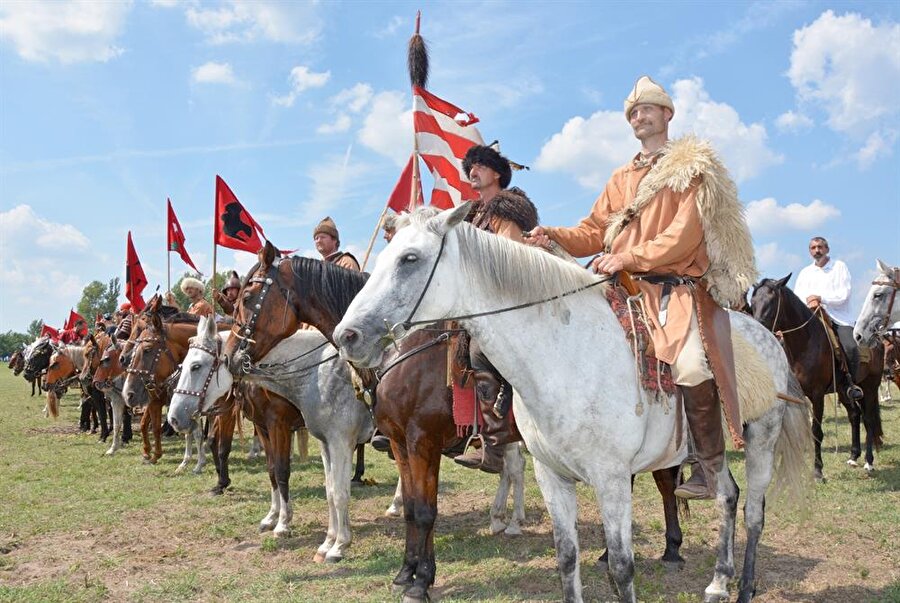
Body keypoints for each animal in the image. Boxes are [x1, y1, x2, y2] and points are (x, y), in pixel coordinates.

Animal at [168, 314, 372, 564]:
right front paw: (275, 519)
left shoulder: (297, 431)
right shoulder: (269, 429)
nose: (173, 417)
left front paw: (288, 526)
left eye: (196, 366)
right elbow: (281, 474)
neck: (318, 372)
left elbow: (291, 475)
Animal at [223, 243, 684, 600]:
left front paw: (419, 581)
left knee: (661, 481)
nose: (231, 357)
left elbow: (426, 511)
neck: (400, 351)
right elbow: (411, 509)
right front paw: (406, 572)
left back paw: (669, 548)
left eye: (248, 296)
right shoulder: (397, 442)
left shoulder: (420, 441)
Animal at [334, 206, 812, 603]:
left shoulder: (611, 479)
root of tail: (767, 337)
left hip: (760, 439)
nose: (346, 336)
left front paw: (417, 580)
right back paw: (718, 581)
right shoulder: (550, 475)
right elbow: (566, 557)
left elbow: (622, 567)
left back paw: (743, 585)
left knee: (751, 511)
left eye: (409, 258)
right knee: (727, 495)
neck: (566, 356)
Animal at [748, 276, 884, 478]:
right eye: (753, 302)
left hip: (870, 387)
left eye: (772, 302)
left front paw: (818, 470)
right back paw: (853, 456)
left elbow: (816, 431)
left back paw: (869, 461)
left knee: (868, 419)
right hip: (844, 391)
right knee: (854, 415)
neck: (804, 344)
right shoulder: (794, 397)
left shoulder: (817, 395)